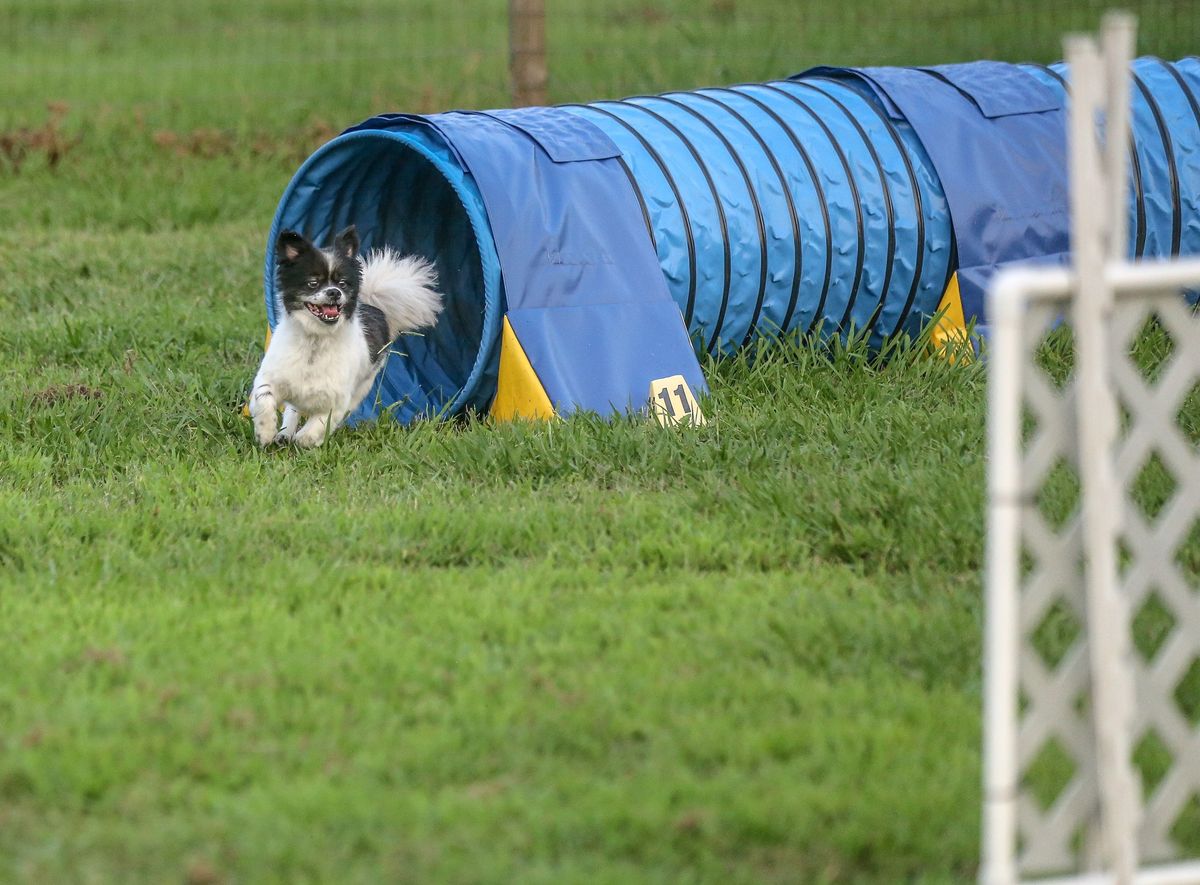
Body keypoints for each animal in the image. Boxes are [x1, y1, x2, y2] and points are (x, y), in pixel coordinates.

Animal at [250, 224, 444, 443]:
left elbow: (317, 426)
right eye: (313, 283)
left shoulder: (338, 401)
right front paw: (265, 432)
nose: (334, 292)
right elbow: (263, 398)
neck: (315, 341)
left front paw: (303, 440)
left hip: (363, 386)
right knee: (292, 409)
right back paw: (284, 434)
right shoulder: (271, 377)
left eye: (343, 283)